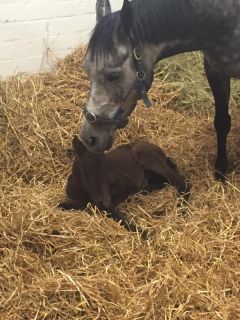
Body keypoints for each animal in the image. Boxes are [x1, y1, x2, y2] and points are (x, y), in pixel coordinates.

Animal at [59, 136, 189, 235]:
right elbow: (63, 204)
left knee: (180, 180)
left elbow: (113, 214)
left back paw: (181, 209)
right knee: (162, 182)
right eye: (86, 172)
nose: (104, 201)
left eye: (108, 165)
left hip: (149, 157)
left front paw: (145, 233)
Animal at [80, 0, 240, 180]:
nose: (89, 138)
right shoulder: (215, 72)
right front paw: (221, 169)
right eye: (87, 69)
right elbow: (221, 122)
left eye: (114, 75)